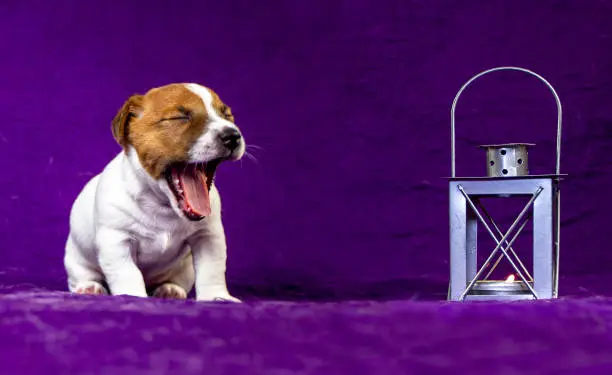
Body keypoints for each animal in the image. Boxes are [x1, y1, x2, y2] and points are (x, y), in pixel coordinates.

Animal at [62, 83, 244, 302]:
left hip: (185, 270)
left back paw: (169, 289)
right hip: (76, 261)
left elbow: (212, 269)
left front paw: (216, 297)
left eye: (227, 115)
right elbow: (127, 273)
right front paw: (133, 296)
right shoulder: (116, 240)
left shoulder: (208, 236)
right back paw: (89, 287)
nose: (232, 136)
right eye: (180, 117)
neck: (162, 205)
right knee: (83, 276)